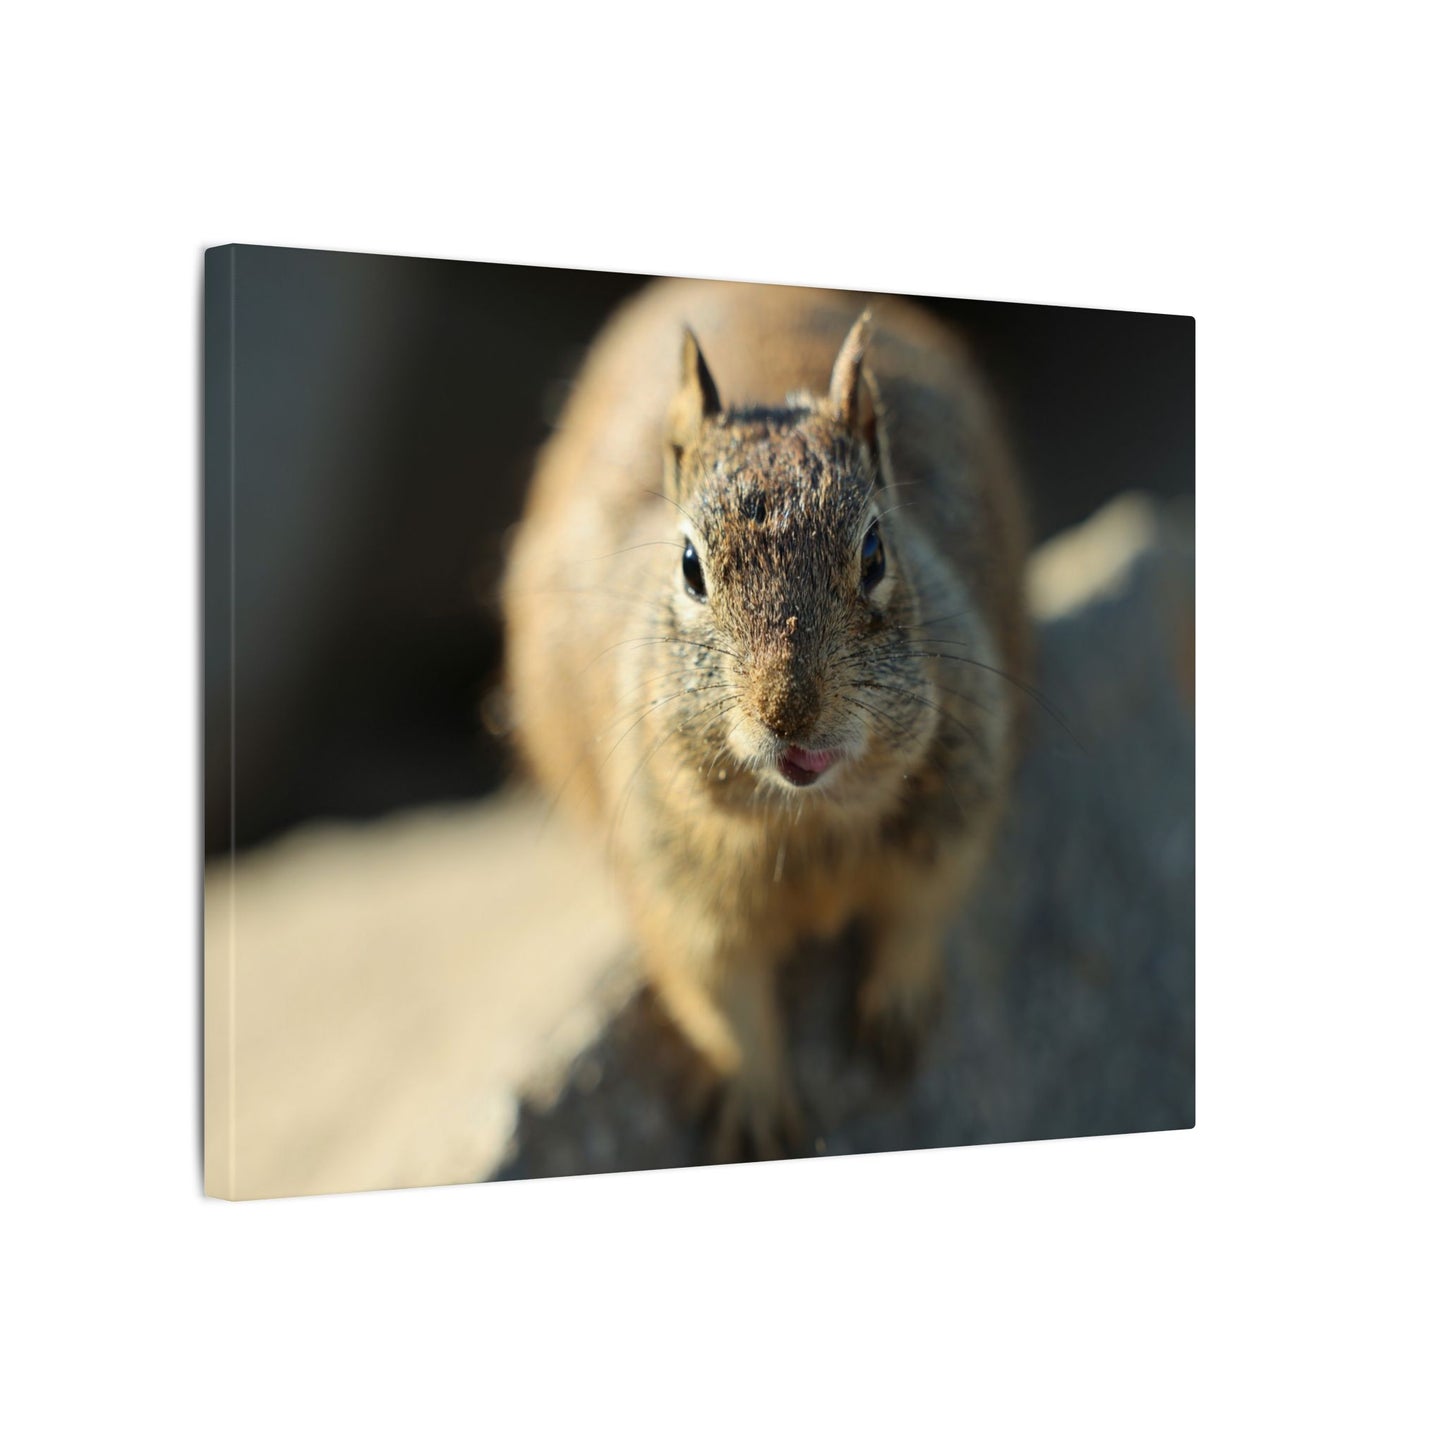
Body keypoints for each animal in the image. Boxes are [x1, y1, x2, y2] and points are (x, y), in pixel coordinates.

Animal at [501, 278, 1030, 1160]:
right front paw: (755, 1108)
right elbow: (719, 1002)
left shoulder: (957, 804)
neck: (809, 822)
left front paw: (896, 1009)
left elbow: (921, 911)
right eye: (687, 565)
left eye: (876, 552)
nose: (789, 710)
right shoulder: (675, 890)